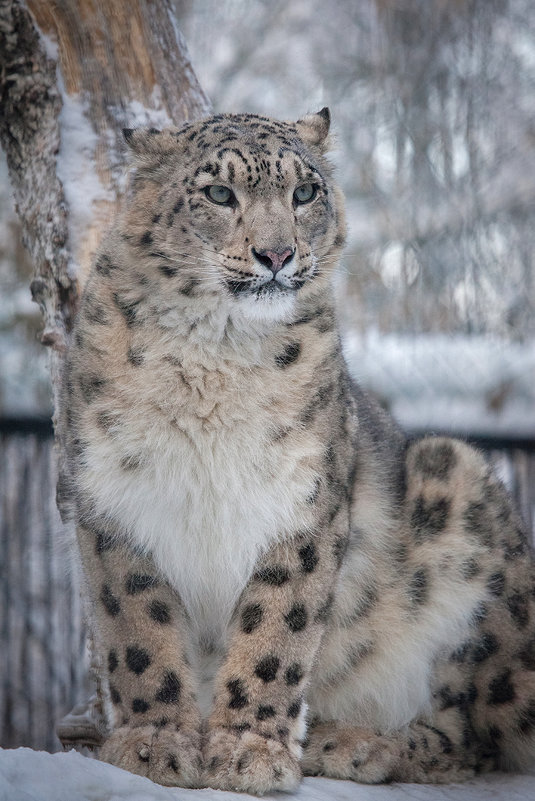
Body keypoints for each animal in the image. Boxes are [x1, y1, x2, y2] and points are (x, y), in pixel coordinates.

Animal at [63, 109, 535, 792]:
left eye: (305, 192)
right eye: (218, 193)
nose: (277, 253)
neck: (214, 365)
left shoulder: (301, 501)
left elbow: (275, 628)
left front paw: (249, 754)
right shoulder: (115, 498)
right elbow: (137, 628)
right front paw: (154, 746)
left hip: (458, 487)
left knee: (472, 732)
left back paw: (355, 742)